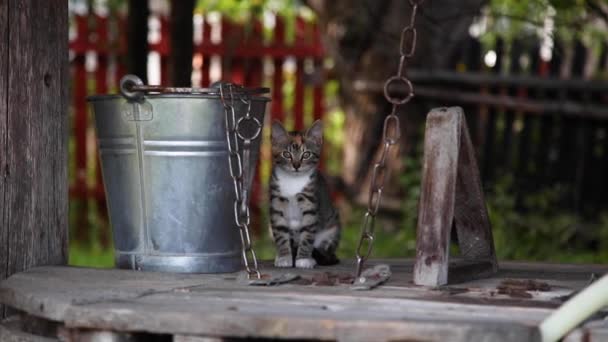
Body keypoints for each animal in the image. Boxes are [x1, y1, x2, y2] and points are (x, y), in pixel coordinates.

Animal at [268, 119, 340, 268]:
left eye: (306, 154)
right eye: (286, 154)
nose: (296, 165)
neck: (293, 181)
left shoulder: (310, 203)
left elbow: (307, 233)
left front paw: (303, 259)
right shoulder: (277, 203)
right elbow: (280, 233)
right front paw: (284, 257)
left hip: (332, 227)